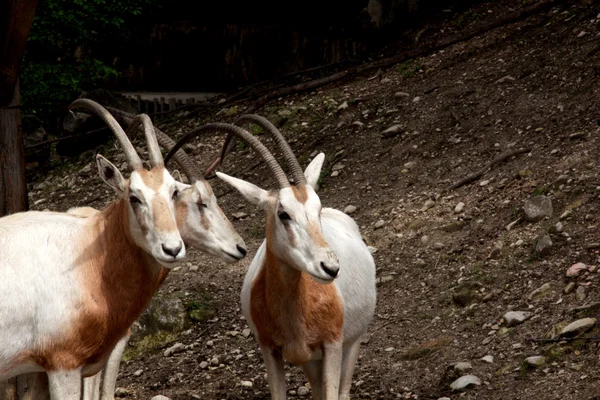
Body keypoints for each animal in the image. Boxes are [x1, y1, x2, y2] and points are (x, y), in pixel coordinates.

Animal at [166, 115, 378, 400]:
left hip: (351, 343)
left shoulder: (333, 345)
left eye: (317, 208)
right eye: (283, 213)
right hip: (311, 360)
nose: (330, 268)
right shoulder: (270, 349)